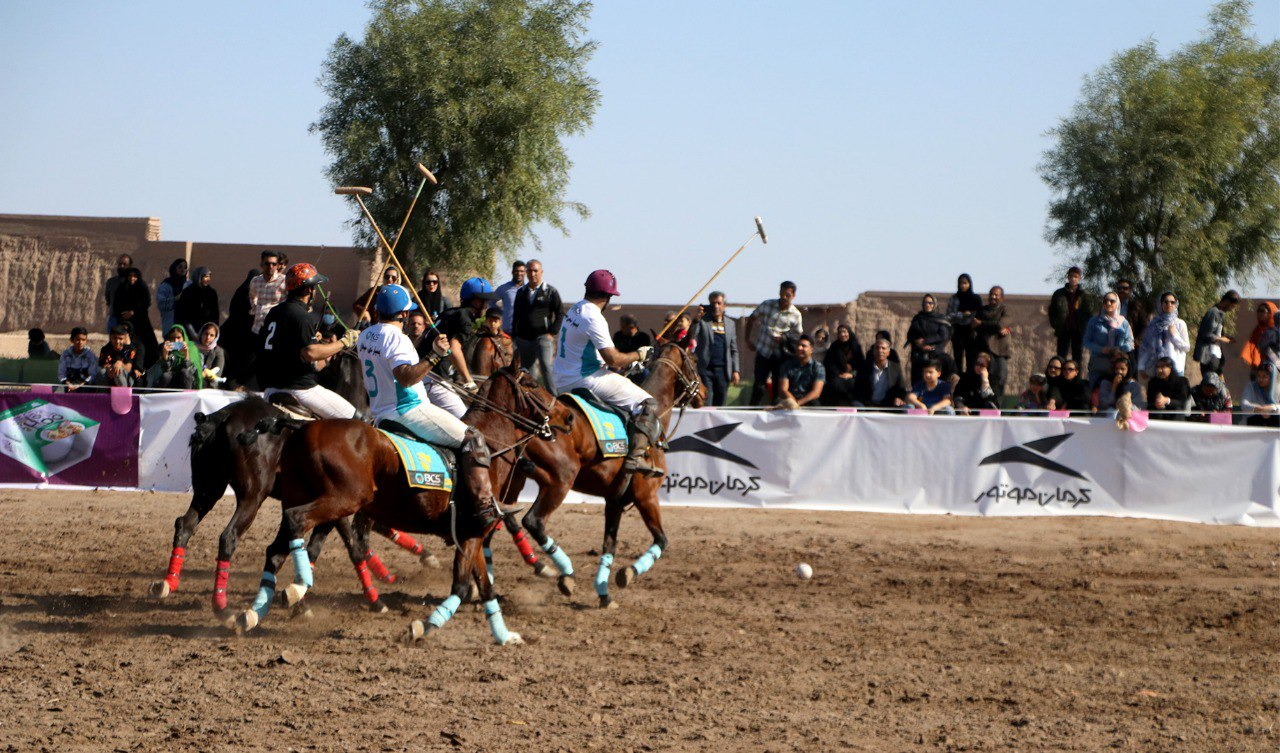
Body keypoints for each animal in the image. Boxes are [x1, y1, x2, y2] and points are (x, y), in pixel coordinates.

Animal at [235, 368, 565, 645]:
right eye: (532, 383)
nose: (567, 418)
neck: (494, 453)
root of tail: (301, 426)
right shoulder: (473, 532)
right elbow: (461, 587)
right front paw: (423, 627)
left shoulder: (471, 534)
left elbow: (485, 587)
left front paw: (505, 636)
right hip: (342, 499)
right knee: (296, 522)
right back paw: (298, 586)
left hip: (310, 498)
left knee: (276, 551)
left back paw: (253, 613)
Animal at [499, 338, 706, 609]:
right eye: (694, 359)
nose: (703, 393)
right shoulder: (646, 496)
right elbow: (661, 540)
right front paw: (627, 574)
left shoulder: (615, 500)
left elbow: (610, 545)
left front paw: (604, 593)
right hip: (560, 480)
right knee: (533, 521)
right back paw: (565, 573)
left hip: (514, 478)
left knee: (504, 517)